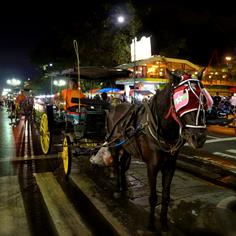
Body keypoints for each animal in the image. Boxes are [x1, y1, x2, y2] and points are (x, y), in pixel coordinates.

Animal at [106, 68, 211, 232]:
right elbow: (153, 197)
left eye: (203, 99)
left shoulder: (170, 166)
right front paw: (151, 224)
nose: (199, 138)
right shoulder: (152, 166)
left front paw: (164, 223)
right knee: (117, 166)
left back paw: (124, 188)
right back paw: (118, 189)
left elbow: (166, 197)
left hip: (127, 148)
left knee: (123, 165)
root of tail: (114, 106)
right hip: (115, 145)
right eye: (183, 99)